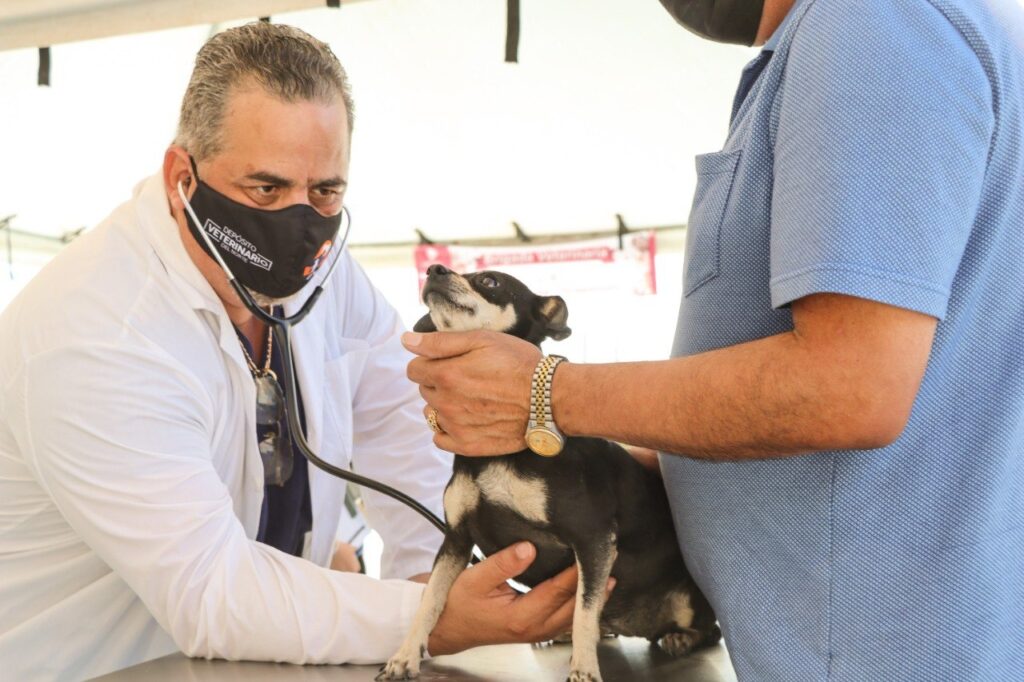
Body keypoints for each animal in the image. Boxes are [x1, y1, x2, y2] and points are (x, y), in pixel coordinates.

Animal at [378, 264, 720, 679]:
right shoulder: (456, 540)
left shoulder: (593, 540)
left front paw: (584, 669)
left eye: (490, 282)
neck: (495, 456)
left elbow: (584, 612)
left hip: (688, 600)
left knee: (709, 630)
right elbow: (431, 599)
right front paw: (405, 656)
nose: (434, 269)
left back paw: (680, 638)